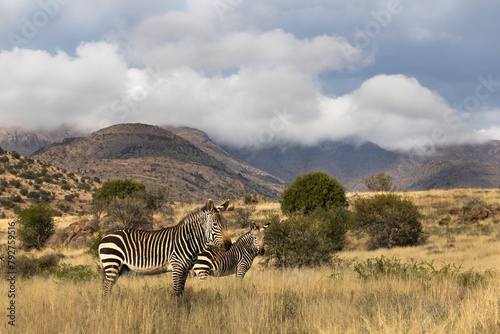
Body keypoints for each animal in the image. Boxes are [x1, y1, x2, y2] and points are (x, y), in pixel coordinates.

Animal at [97, 198, 232, 298]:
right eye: (215, 224)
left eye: (226, 224)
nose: (228, 245)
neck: (188, 240)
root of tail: (103, 239)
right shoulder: (177, 267)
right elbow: (177, 292)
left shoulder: (186, 270)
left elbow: (181, 292)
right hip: (112, 262)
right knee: (106, 288)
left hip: (120, 267)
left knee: (106, 287)